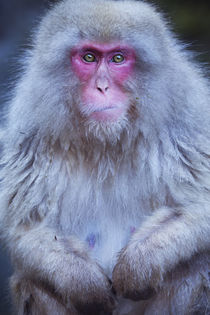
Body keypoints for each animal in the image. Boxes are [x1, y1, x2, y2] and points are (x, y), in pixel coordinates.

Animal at [0, 0, 210, 314]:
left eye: (117, 58)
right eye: (89, 57)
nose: (102, 87)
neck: (107, 143)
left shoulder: (188, 126)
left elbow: (199, 207)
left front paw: (138, 266)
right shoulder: (29, 139)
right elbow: (27, 227)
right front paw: (83, 284)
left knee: (195, 267)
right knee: (33, 282)